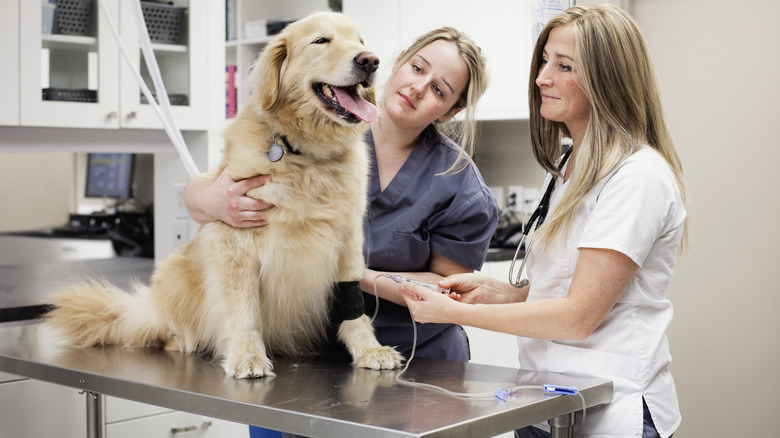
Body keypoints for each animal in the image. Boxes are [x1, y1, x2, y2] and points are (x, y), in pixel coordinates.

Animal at [44, 12, 402, 378]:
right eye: (321, 41)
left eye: (360, 41)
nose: (370, 60)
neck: (304, 154)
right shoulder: (236, 243)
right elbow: (243, 306)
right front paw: (247, 355)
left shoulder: (347, 241)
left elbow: (353, 305)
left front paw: (368, 349)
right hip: (174, 273)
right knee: (160, 325)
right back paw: (179, 339)